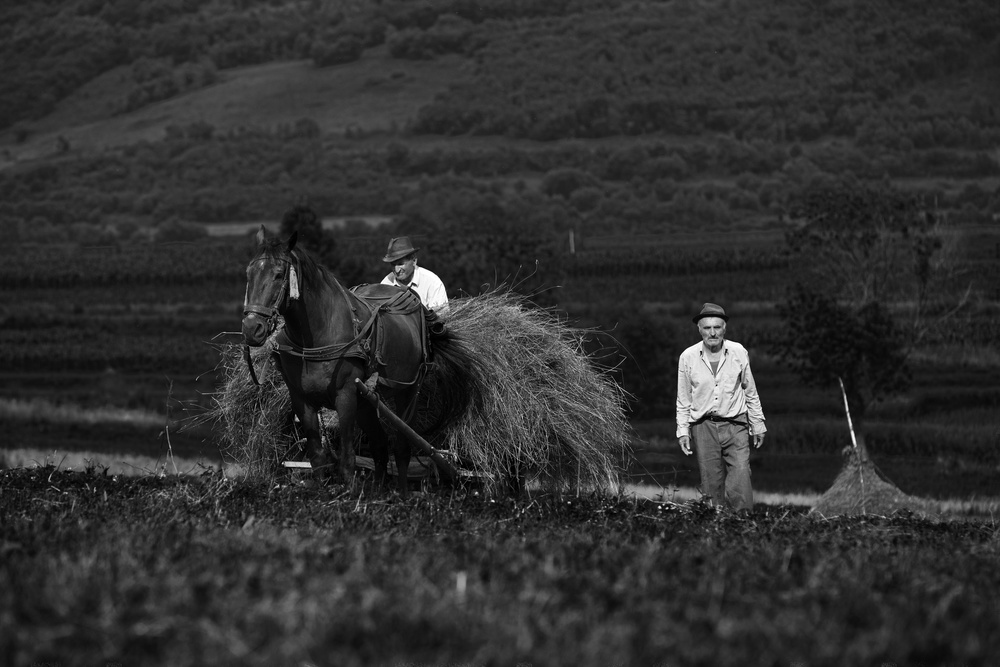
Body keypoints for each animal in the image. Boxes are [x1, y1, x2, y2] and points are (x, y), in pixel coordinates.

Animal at [244, 227, 474, 494]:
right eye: (249, 273)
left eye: (279, 274)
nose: (251, 328)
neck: (317, 337)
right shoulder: (302, 399)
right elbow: (318, 458)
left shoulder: (345, 396)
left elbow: (347, 461)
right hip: (366, 399)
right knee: (380, 445)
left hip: (407, 392)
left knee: (402, 448)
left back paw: (403, 494)